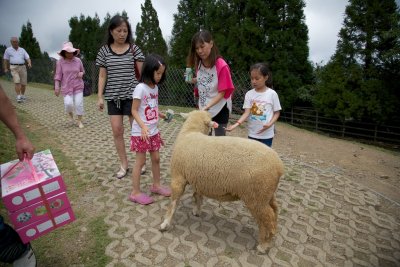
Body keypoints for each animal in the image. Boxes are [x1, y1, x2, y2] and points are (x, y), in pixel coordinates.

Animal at [159, 110, 284, 253]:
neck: (190, 132)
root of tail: (279, 166)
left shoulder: (178, 177)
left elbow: (173, 203)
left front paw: (165, 224)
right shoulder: (198, 178)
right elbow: (197, 196)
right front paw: (197, 211)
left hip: (256, 197)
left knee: (268, 220)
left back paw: (263, 246)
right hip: (266, 193)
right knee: (274, 212)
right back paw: (266, 240)